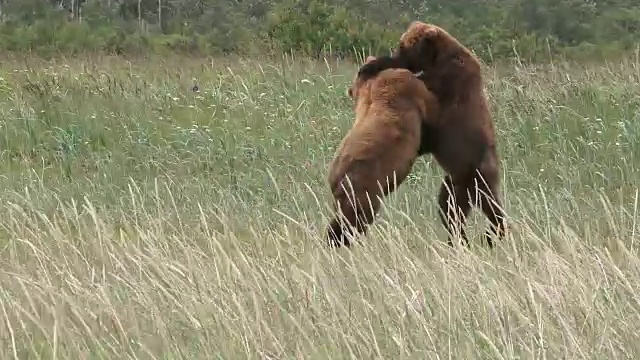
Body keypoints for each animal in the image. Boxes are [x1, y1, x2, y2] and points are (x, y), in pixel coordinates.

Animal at [352, 21, 508, 248]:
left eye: (403, 46)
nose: (396, 52)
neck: (440, 57)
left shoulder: (447, 83)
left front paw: (375, 65)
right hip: (453, 185)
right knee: (449, 210)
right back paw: (458, 239)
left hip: (480, 175)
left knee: (492, 208)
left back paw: (493, 232)